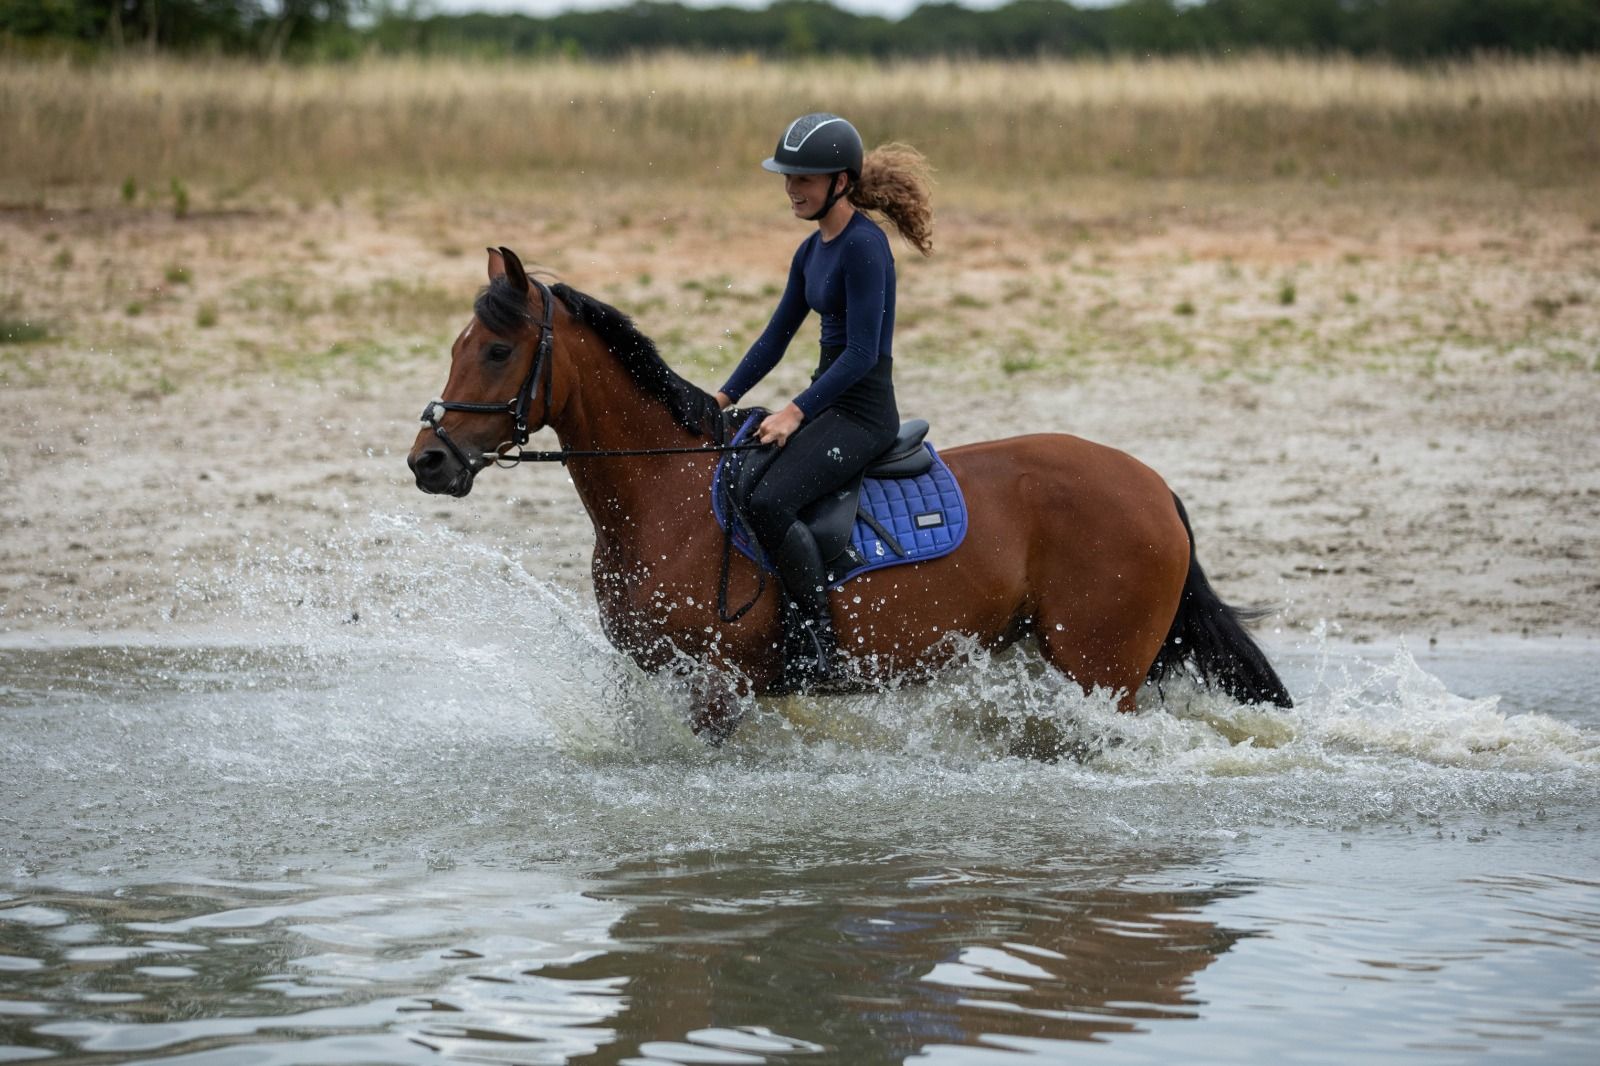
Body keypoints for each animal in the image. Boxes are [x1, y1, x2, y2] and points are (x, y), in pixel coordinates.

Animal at [408, 247, 1292, 741]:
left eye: (495, 350)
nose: (428, 460)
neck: (663, 494)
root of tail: (1152, 484)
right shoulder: (649, 677)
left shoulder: (715, 689)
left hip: (1102, 672)